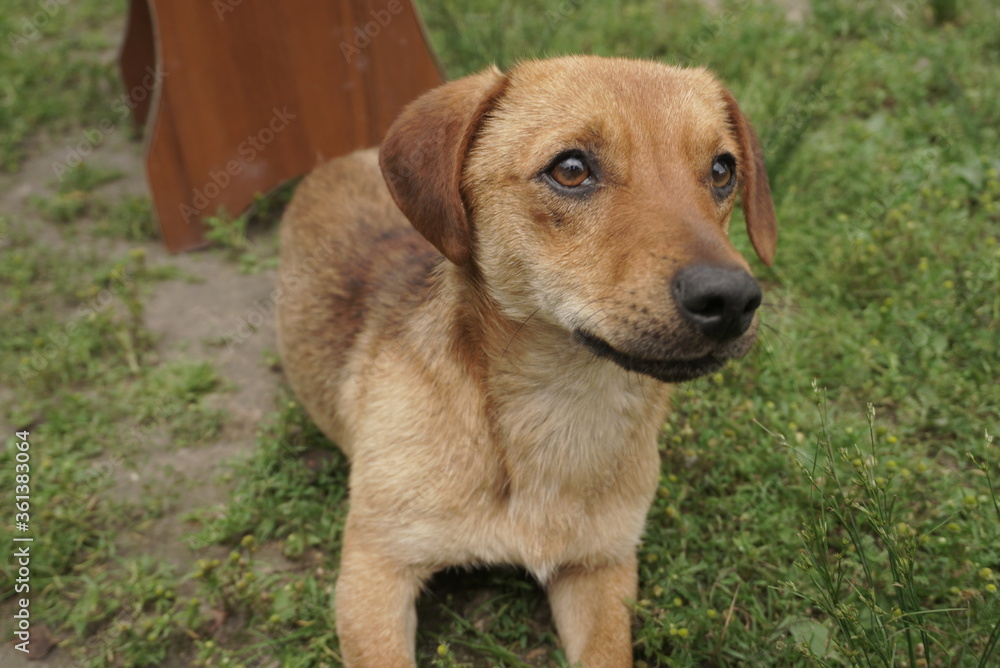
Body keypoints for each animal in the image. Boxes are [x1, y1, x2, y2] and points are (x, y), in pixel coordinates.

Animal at [278, 57, 776, 668]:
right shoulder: (374, 571)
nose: (731, 300)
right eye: (571, 169)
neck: (558, 413)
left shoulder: (602, 568)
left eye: (723, 170)